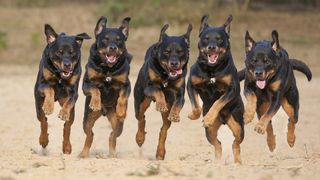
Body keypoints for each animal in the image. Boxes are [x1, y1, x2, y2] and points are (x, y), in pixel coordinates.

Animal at [34, 23, 90, 153]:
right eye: (59, 52)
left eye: (72, 52)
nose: (67, 65)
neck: (60, 76)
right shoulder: (42, 85)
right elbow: (49, 89)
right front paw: (48, 106)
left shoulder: (73, 92)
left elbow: (70, 102)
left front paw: (64, 113)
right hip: (38, 105)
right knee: (43, 121)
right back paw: (43, 140)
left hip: (70, 110)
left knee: (67, 126)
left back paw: (67, 146)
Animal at [78, 16, 131, 158]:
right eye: (105, 39)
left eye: (119, 40)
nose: (112, 48)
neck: (108, 69)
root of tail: (104, 112)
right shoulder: (86, 84)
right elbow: (95, 89)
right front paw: (95, 103)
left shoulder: (126, 85)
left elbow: (123, 97)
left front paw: (121, 110)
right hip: (87, 119)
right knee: (90, 134)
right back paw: (83, 153)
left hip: (118, 123)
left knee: (113, 135)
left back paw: (112, 153)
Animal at [134, 23, 191, 159]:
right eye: (166, 51)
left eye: (181, 52)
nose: (174, 63)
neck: (166, 76)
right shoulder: (149, 87)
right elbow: (158, 91)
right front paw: (160, 104)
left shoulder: (180, 94)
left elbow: (177, 104)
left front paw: (175, 115)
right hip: (140, 101)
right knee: (141, 117)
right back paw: (140, 138)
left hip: (166, 114)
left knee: (164, 129)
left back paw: (160, 152)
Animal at [186, 15, 244, 164]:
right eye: (206, 38)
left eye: (219, 38)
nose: (212, 47)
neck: (212, 70)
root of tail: (223, 120)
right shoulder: (191, 85)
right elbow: (196, 107)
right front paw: (193, 115)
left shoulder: (232, 90)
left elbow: (219, 102)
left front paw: (208, 118)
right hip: (210, 132)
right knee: (218, 143)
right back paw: (217, 162)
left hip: (238, 125)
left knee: (236, 142)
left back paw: (237, 162)